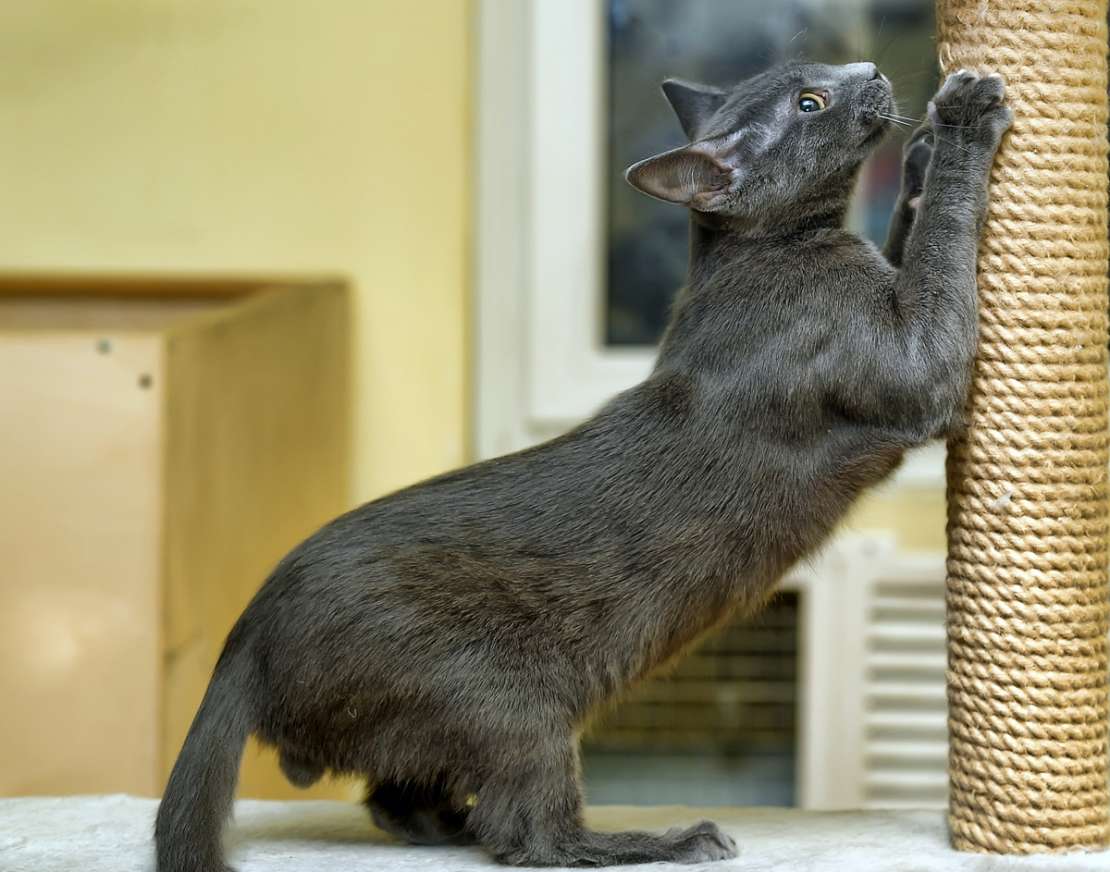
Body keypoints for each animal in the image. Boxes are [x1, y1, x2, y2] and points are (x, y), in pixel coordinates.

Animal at [158, 59, 1016, 860]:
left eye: (820, 77)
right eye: (810, 103)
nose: (867, 71)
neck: (764, 254)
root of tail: (245, 637)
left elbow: (907, 242)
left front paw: (922, 153)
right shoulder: (917, 367)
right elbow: (937, 259)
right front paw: (964, 118)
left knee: (398, 800)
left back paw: (448, 822)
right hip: (510, 698)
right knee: (531, 836)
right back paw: (669, 841)